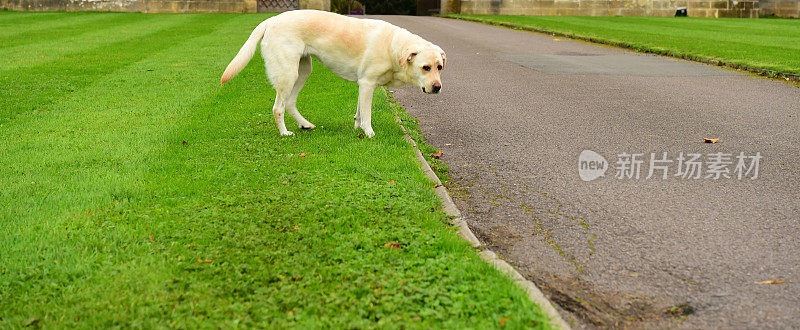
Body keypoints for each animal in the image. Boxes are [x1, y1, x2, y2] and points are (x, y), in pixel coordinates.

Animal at [220, 9, 444, 137]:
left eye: (439, 67)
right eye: (426, 67)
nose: (437, 87)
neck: (393, 47)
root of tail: (272, 19)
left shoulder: (363, 85)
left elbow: (359, 112)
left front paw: (357, 129)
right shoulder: (367, 84)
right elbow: (367, 114)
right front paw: (369, 133)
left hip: (303, 71)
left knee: (290, 103)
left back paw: (305, 125)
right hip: (288, 73)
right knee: (278, 108)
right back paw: (284, 133)